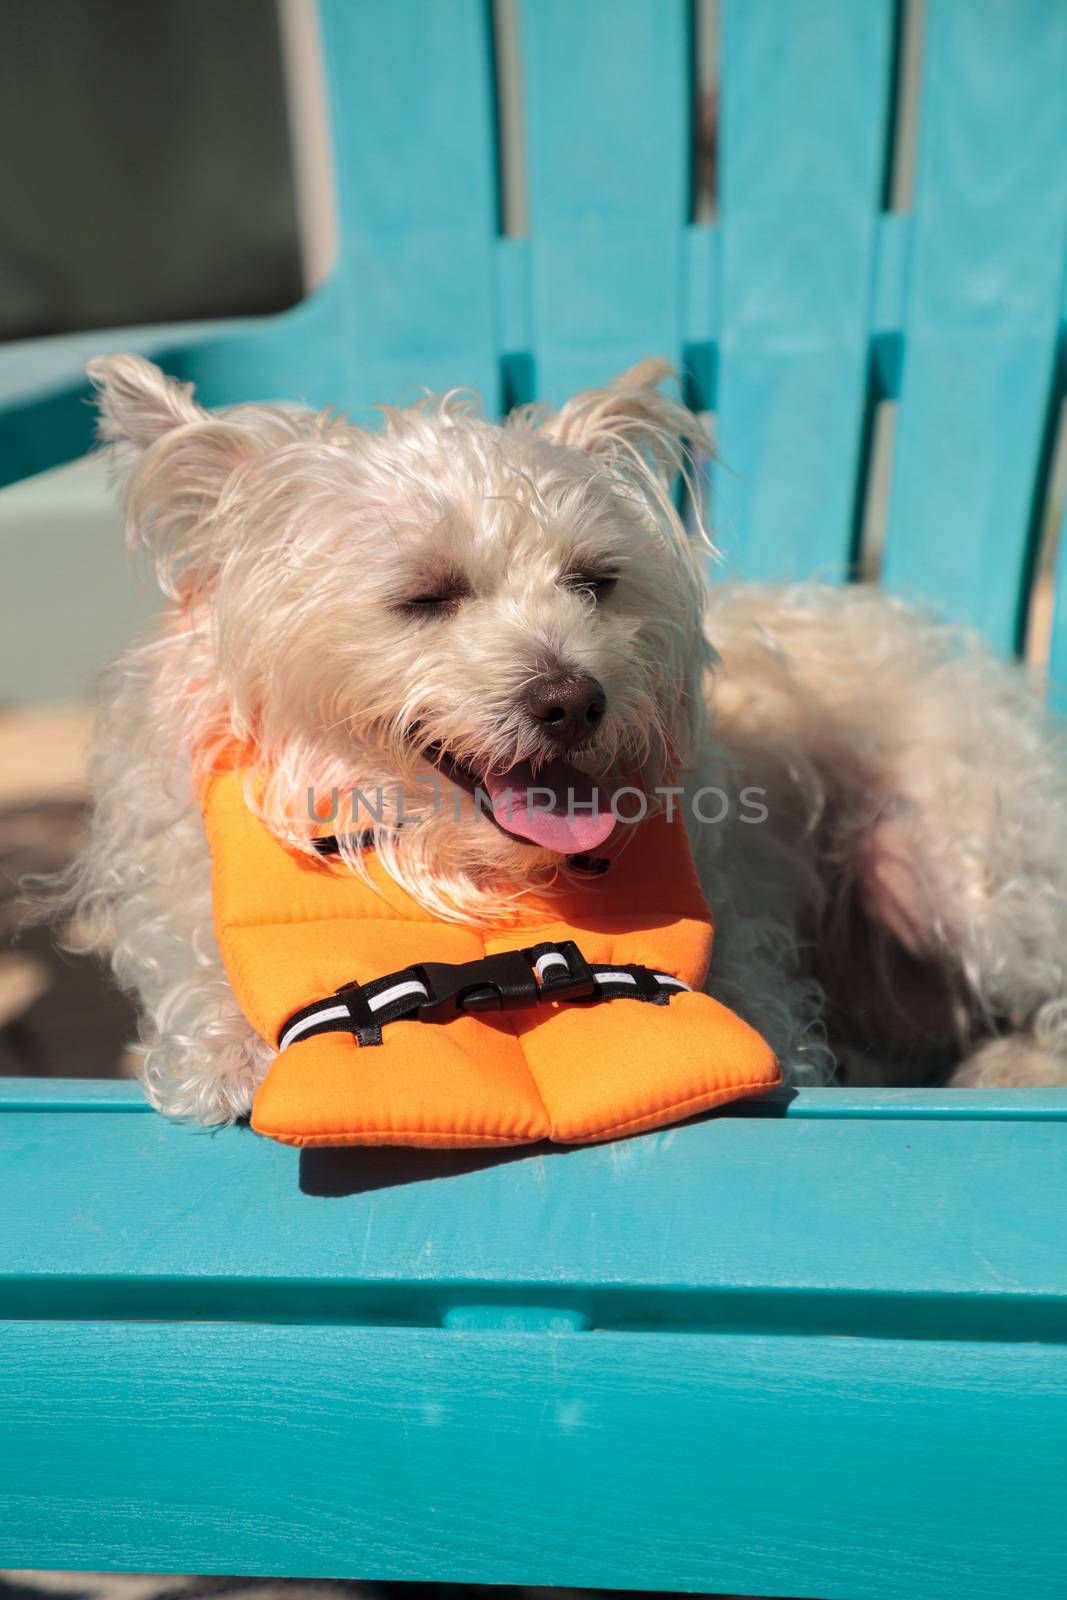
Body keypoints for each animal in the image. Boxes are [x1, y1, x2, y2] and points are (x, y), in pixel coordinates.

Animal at [51, 355, 1067, 1120]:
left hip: (974, 870)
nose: (572, 700)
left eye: (594, 581)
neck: (462, 873)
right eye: (425, 595)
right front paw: (225, 1054)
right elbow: (198, 974)